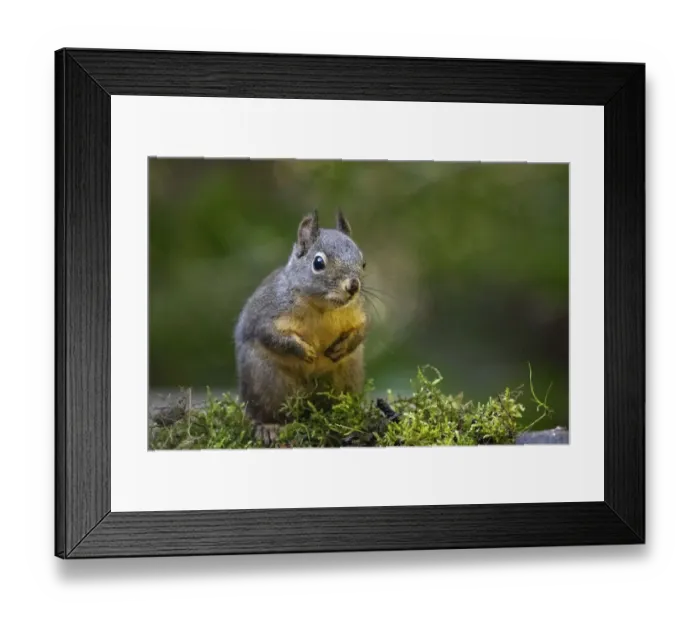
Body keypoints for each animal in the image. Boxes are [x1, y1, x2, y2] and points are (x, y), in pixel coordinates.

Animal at [233, 210, 368, 444]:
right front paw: (304, 351)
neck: (322, 308)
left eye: (363, 263)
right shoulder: (268, 314)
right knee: (266, 412)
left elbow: (361, 330)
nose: (353, 286)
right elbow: (271, 336)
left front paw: (342, 347)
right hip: (266, 382)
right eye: (318, 262)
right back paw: (268, 427)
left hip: (346, 376)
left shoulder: (356, 313)